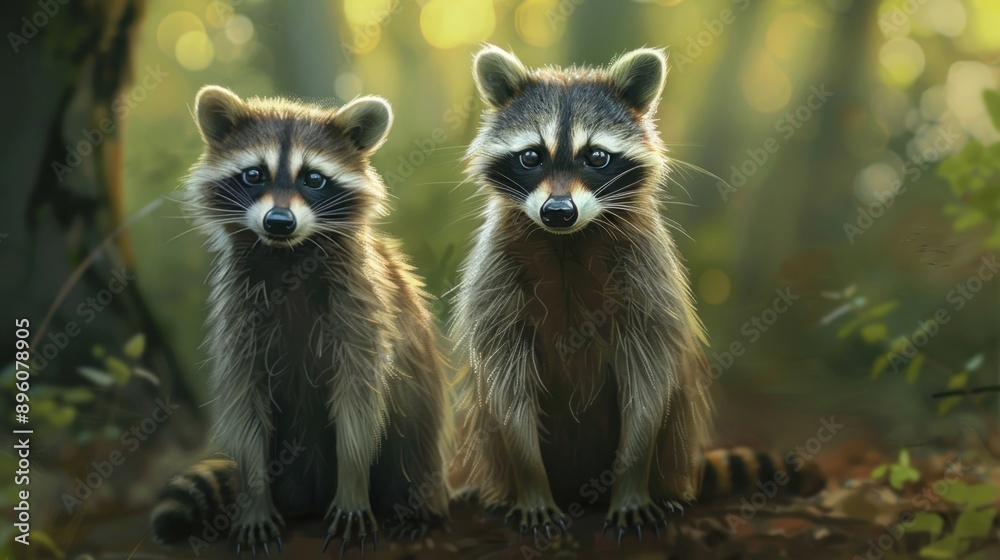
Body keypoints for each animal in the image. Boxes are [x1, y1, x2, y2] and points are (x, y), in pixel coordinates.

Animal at [149, 86, 451, 554]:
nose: (279, 222)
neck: (288, 254)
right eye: (254, 174)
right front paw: (255, 500)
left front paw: (352, 487)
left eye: (313, 179)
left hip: (420, 440)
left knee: (409, 449)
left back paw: (415, 510)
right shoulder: (238, 311)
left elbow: (359, 405)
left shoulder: (362, 306)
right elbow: (245, 403)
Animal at [452, 46, 713, 542]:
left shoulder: (646, 272)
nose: (558, 211)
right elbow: (506, 385)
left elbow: (648, 379)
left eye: (596, 156)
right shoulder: (496, 274)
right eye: (531, 156)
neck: (568, 239)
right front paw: (532, 483)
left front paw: (632, 483)